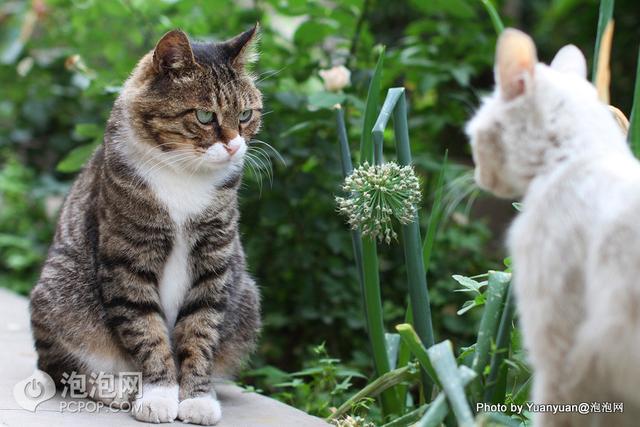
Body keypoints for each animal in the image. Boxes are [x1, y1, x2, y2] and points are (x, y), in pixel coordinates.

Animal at [30, 25, 262, 424]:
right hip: (58, 294)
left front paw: (197, 398)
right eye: (205, 116)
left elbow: (200, 332)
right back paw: (115, 388)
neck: (184, 174)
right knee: (59, 367)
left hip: (246, 295)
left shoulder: (214, 260)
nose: (234, 147)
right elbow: (147, 332)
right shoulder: (127, 260)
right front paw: (159, 395)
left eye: (245, 114)